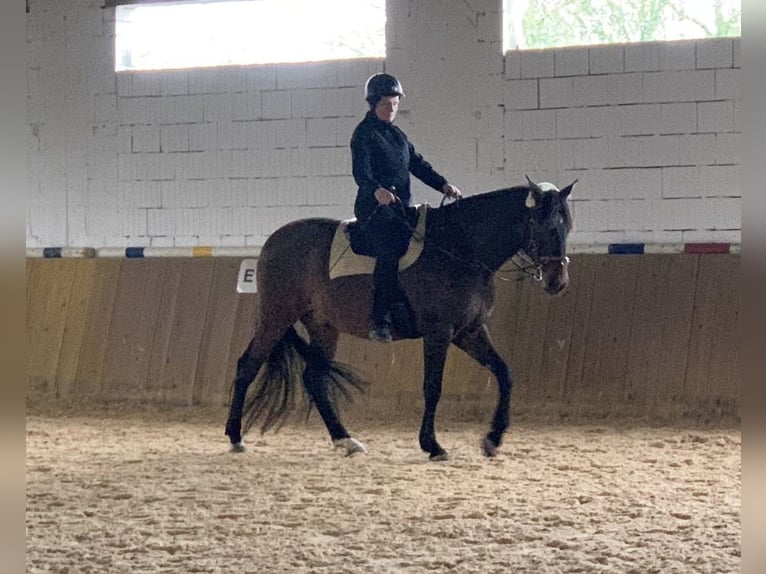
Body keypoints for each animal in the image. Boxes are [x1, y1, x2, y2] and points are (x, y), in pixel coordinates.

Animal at [225, 176, 576, 460]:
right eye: (546, 226)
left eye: (567, 226)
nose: (557, 281)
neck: (460, 249)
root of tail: (274, 240)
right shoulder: (439, 332)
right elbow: (433, 386)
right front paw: (433, 445)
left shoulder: (469, 332)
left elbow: (504, 373)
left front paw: (492, 439)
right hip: (276, 315)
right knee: (248, 366)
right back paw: (235, 437)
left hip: (323, 325)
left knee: (314, 378)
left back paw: (346, 440)